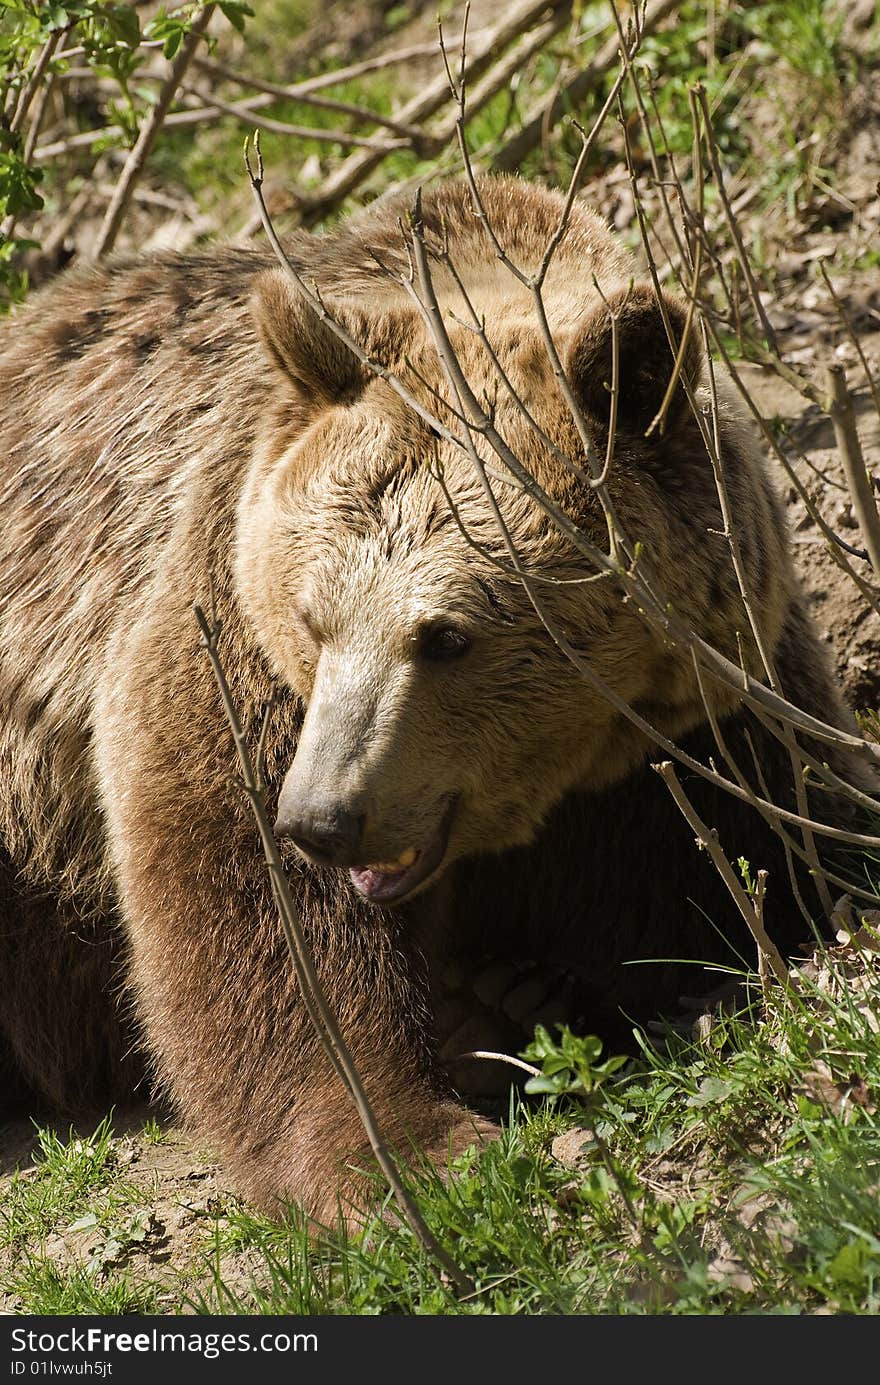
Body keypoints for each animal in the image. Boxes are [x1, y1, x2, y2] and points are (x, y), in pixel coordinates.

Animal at [0, 173, 870, 1224]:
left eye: (447, 635)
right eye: (313, 615)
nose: (323, 816)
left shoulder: (712, 701)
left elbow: (790, 834)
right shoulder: (222, 609)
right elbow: (251, 893)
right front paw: (412, 1147)